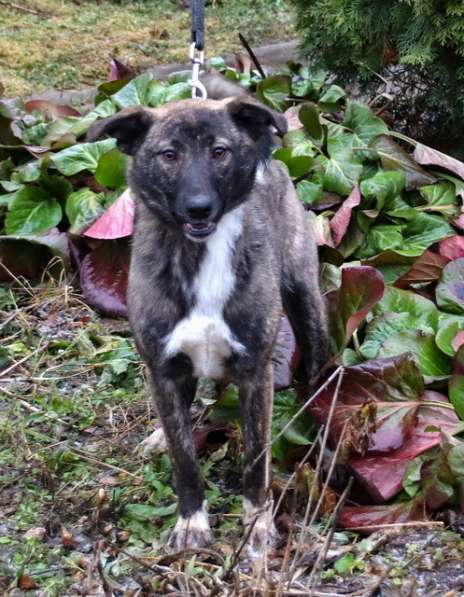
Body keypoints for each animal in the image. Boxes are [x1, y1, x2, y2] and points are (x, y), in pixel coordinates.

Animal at [88, 96, 330, 548]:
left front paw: (257, 524)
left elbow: (255, 460)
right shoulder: (164, 370)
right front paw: (192, 521)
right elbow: (184, 460)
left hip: (305, 298)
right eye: (169, 155)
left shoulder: (255, 373)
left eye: (219, 152)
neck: (200, 254)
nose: (198, 207)